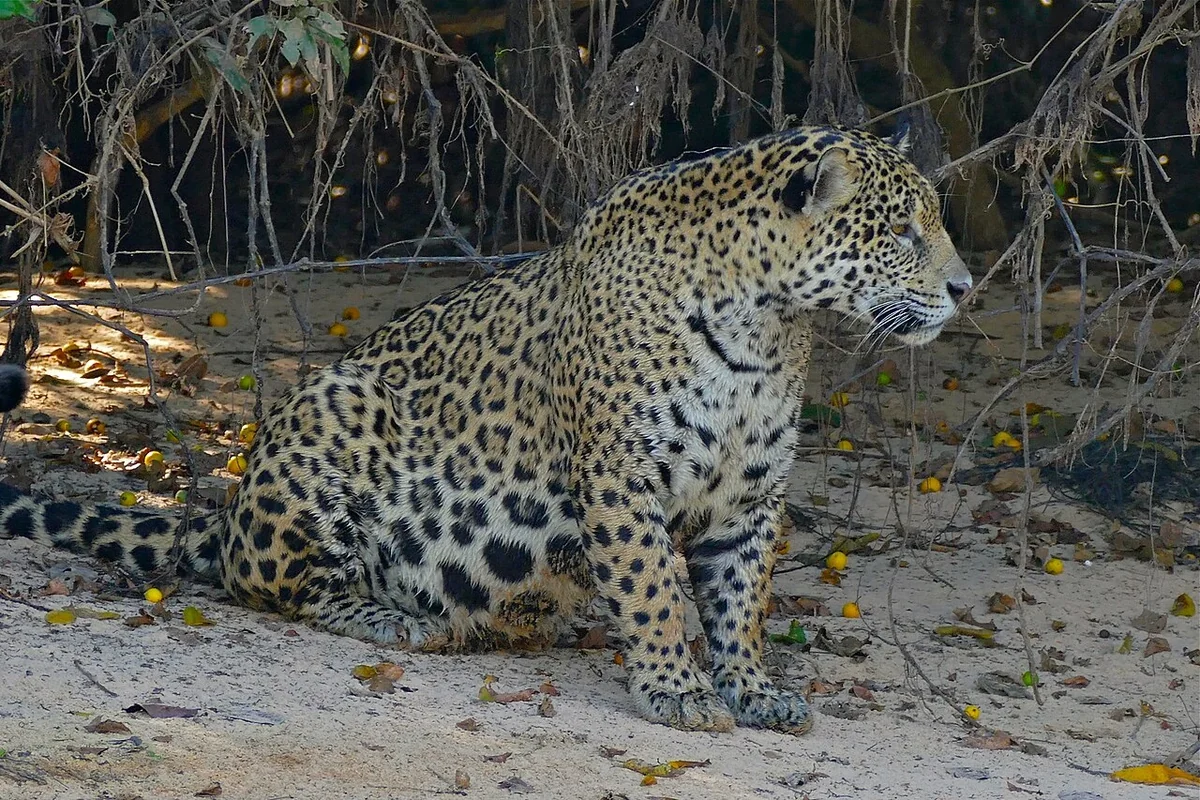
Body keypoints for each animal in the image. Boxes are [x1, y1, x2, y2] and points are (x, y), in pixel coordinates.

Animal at [0, 125, 972, 735]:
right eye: (902, 231)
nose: (965, 287)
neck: (768, 324)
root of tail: (226, 514)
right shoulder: (621, 471)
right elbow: (656, 585)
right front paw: (675, 688)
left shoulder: (751, 495)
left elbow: (740, 601)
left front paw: (754, 690)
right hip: (335, 410)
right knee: (268, 583)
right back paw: (392, 618)